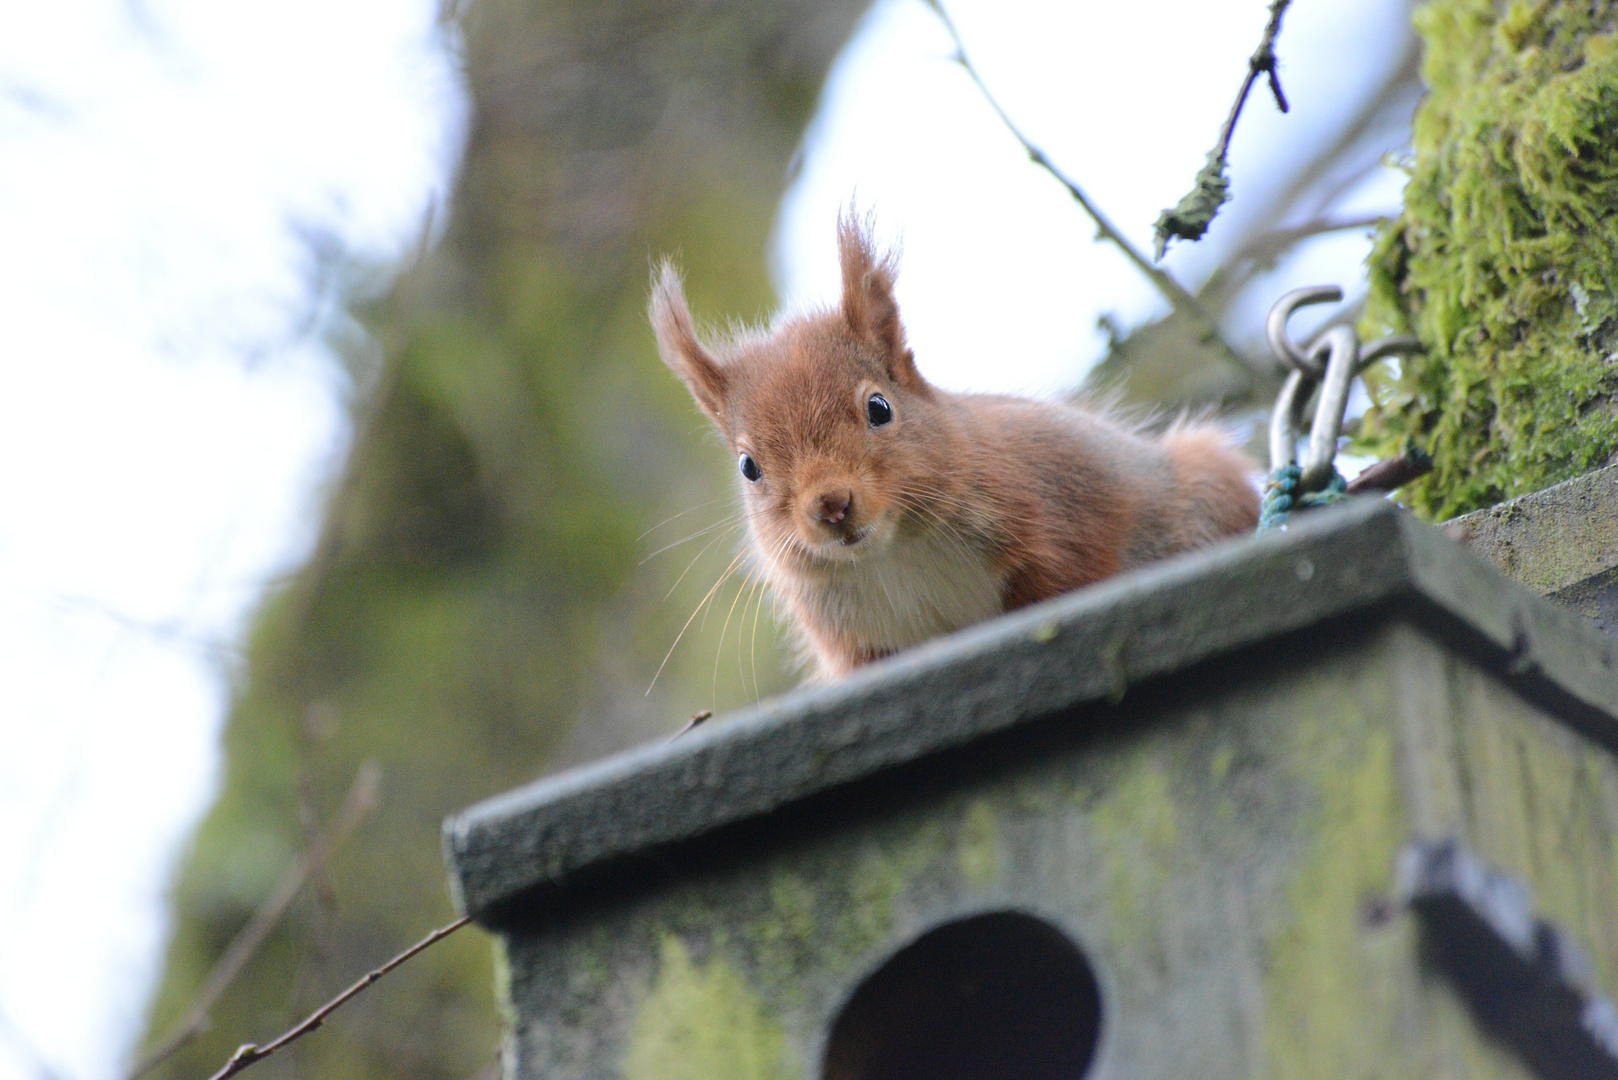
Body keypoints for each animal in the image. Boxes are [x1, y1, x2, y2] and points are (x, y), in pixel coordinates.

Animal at [650, 213, 1255, 676]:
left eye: (879, 408)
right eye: (748, 466)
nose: (831, 504)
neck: (896, 552)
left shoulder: (1058, 506)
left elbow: (1074, 573)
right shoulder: (859, 647)